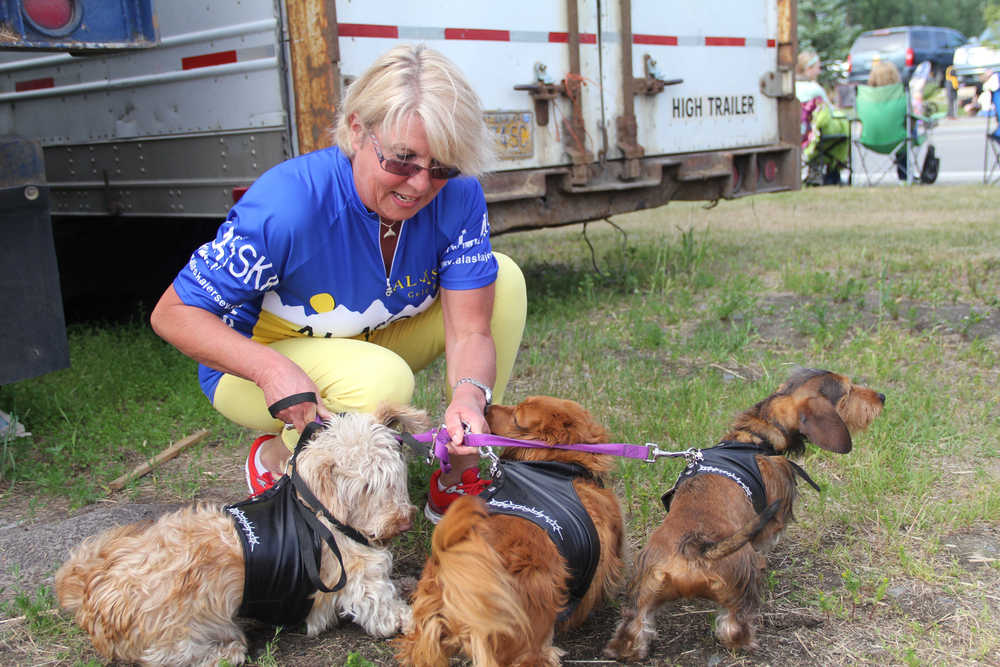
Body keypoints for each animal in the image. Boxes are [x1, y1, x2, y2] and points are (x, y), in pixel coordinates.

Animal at [600, 368, 884, 660]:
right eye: (848, 391)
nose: (882, 397)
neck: (752, 439)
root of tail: (695, 548)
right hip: (740, 585)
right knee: (732, 626)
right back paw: (748, 641)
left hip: (644, 589)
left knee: (633, 627)